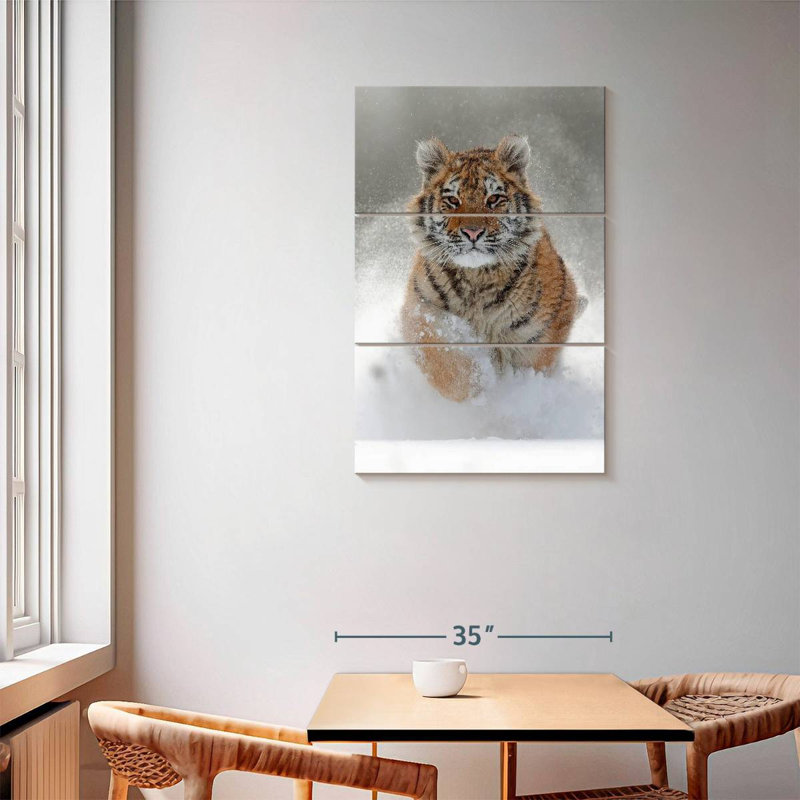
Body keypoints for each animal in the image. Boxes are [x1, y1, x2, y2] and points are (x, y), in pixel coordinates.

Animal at [400, 134, 585, 402]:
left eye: (494, 199)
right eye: (453, 200)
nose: (472, 232)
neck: (477, 278)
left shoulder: (541, 332)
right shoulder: (421, 311)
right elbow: (446, 363)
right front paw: (476, 389)